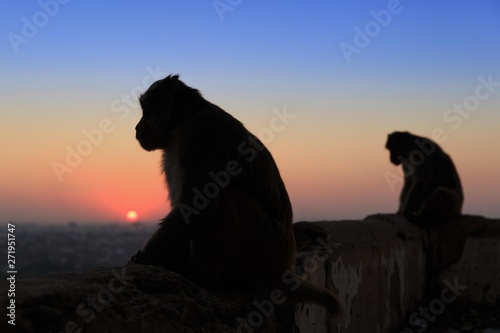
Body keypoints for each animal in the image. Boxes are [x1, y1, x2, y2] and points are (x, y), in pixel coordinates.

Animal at [129, 74, 342, 314]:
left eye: (147, 109)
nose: (137, 128)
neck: (183, 121)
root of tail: (281, 270)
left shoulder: (201, 132)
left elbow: (199, 206)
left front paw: (148, 255)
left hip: (260, 245)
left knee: (226, 196)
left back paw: (205, 275)